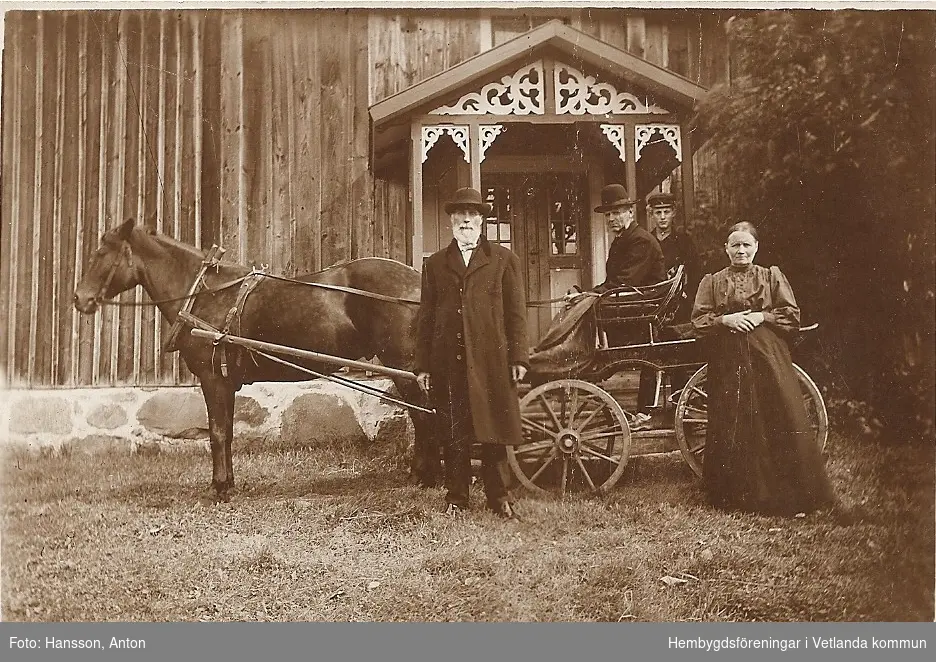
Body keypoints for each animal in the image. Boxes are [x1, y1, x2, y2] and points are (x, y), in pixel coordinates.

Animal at [73, 218, 438, 504]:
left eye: (101, 253)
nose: (80, 299)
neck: (206, 294)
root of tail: (415, 280)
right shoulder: (226, 381)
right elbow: (228, 431)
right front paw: (229, 483)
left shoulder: (213, 378)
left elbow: (218, 432)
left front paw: (220, 488)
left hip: (404, 366)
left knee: (423, 416)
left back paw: (424, 475)